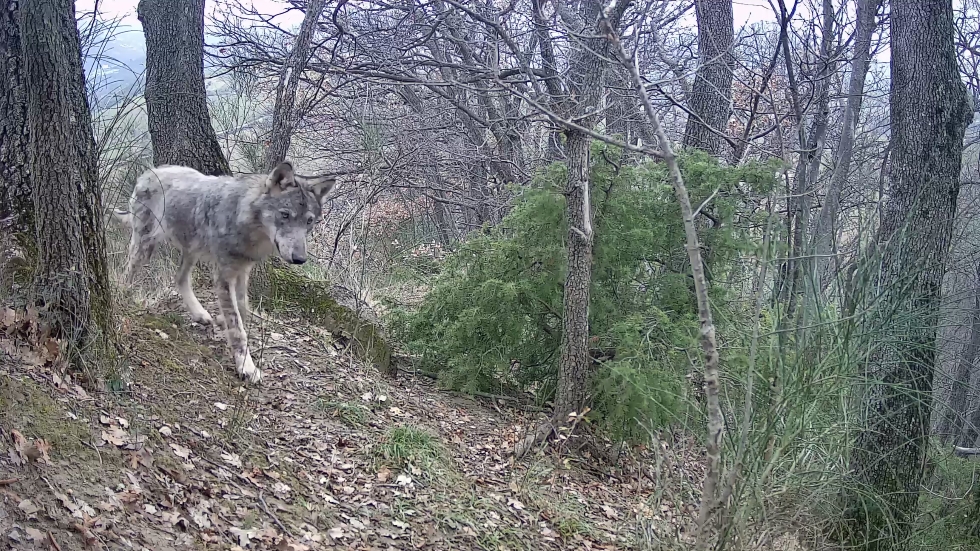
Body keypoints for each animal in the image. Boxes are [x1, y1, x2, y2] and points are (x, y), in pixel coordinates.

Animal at [115, 162, 335, 384]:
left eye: (309, 221)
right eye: (285, 215)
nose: (300, 259)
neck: (245, 223)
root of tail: (151, 171)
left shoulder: (243, 271)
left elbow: (243, 310)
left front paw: (224, 323)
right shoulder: (224, 275)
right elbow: (237, 327)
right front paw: (246, 366)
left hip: (191, 249)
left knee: (180, 278)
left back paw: (200, 314)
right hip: (145, 246)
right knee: (127, 274)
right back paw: (123, 299)